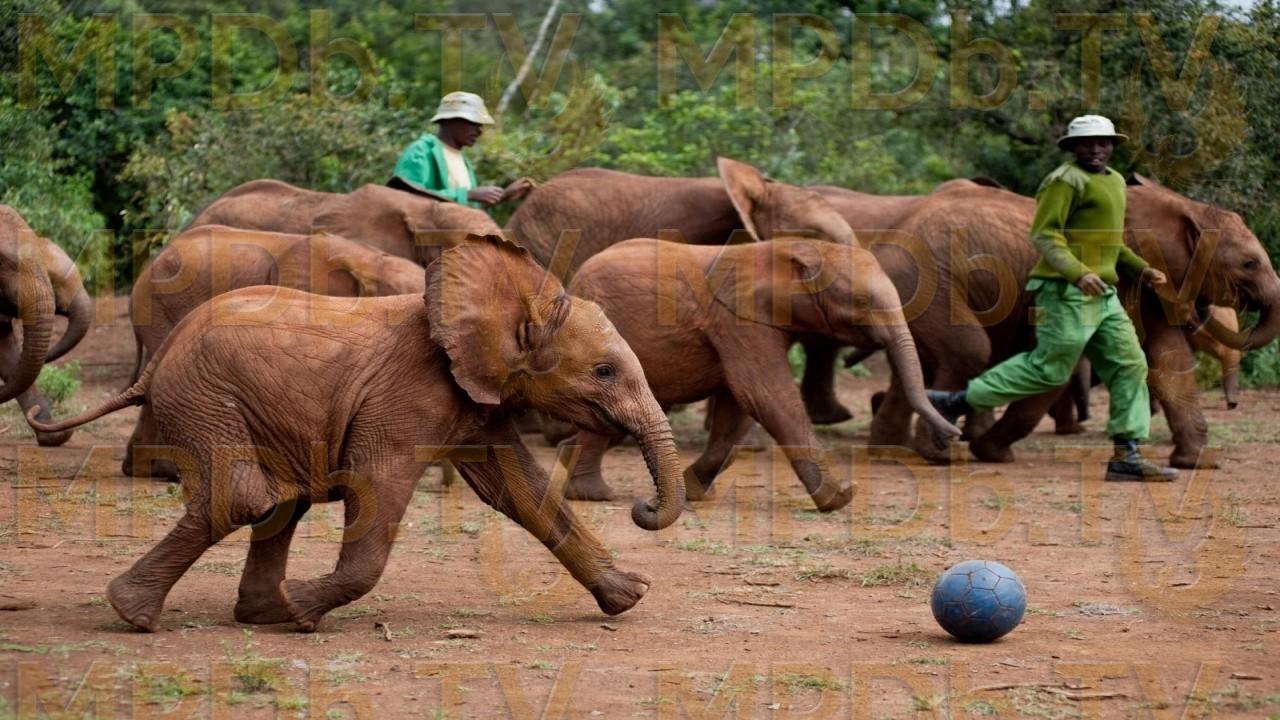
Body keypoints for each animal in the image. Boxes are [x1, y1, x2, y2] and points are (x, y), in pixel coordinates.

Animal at [559, 237, 961, 511]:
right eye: (861, 303)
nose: (952, 435)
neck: (798, 249)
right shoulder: (739, 321)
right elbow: (765, 395)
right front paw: (842, 497)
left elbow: (736, 409)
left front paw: (694, 490)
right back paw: (594, 495)